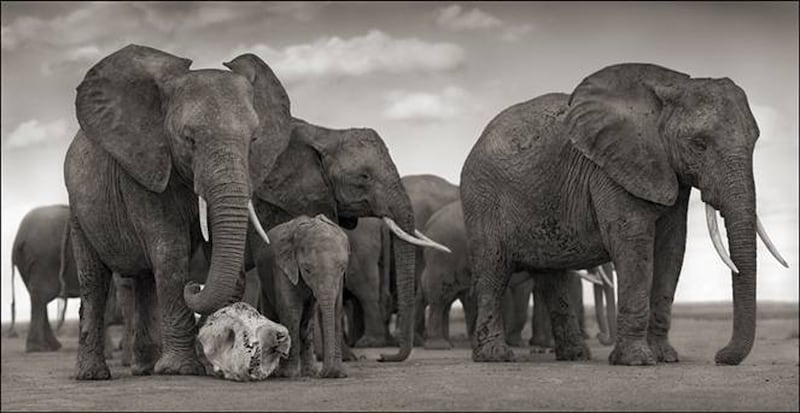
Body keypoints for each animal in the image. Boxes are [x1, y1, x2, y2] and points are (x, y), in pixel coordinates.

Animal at [64, 45, 292, 380]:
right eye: (189, 139)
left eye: (253, 140)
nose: (194, 285)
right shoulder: (144, 170)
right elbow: (171, 251)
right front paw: (181, 370)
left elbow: (215, 250)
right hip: (78, 207)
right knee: (94, 280)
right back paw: (92, 375)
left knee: (145, 280)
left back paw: (145, 369)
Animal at [268, 214, 350, 378]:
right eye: (307, 270)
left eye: (342, 268)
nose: (324, 374)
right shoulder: (283, 267)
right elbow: (291, 309)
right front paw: (288, 374)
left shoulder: (339, 280)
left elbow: (336, 308)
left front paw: (338, 374)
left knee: (307, 318)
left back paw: (309, 372)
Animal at [462, 62, 788, 364]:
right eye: (699, 144)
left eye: (755, 141)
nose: (720, 357)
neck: (672, 85)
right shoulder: (612, 167)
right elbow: (634, 243)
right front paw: (637, 361)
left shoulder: (667, 171)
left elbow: (671, 247)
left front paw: (665, 358)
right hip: (483, 197)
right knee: (494, 271)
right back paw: (495, 356)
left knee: (552, 278)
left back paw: (576, 356)